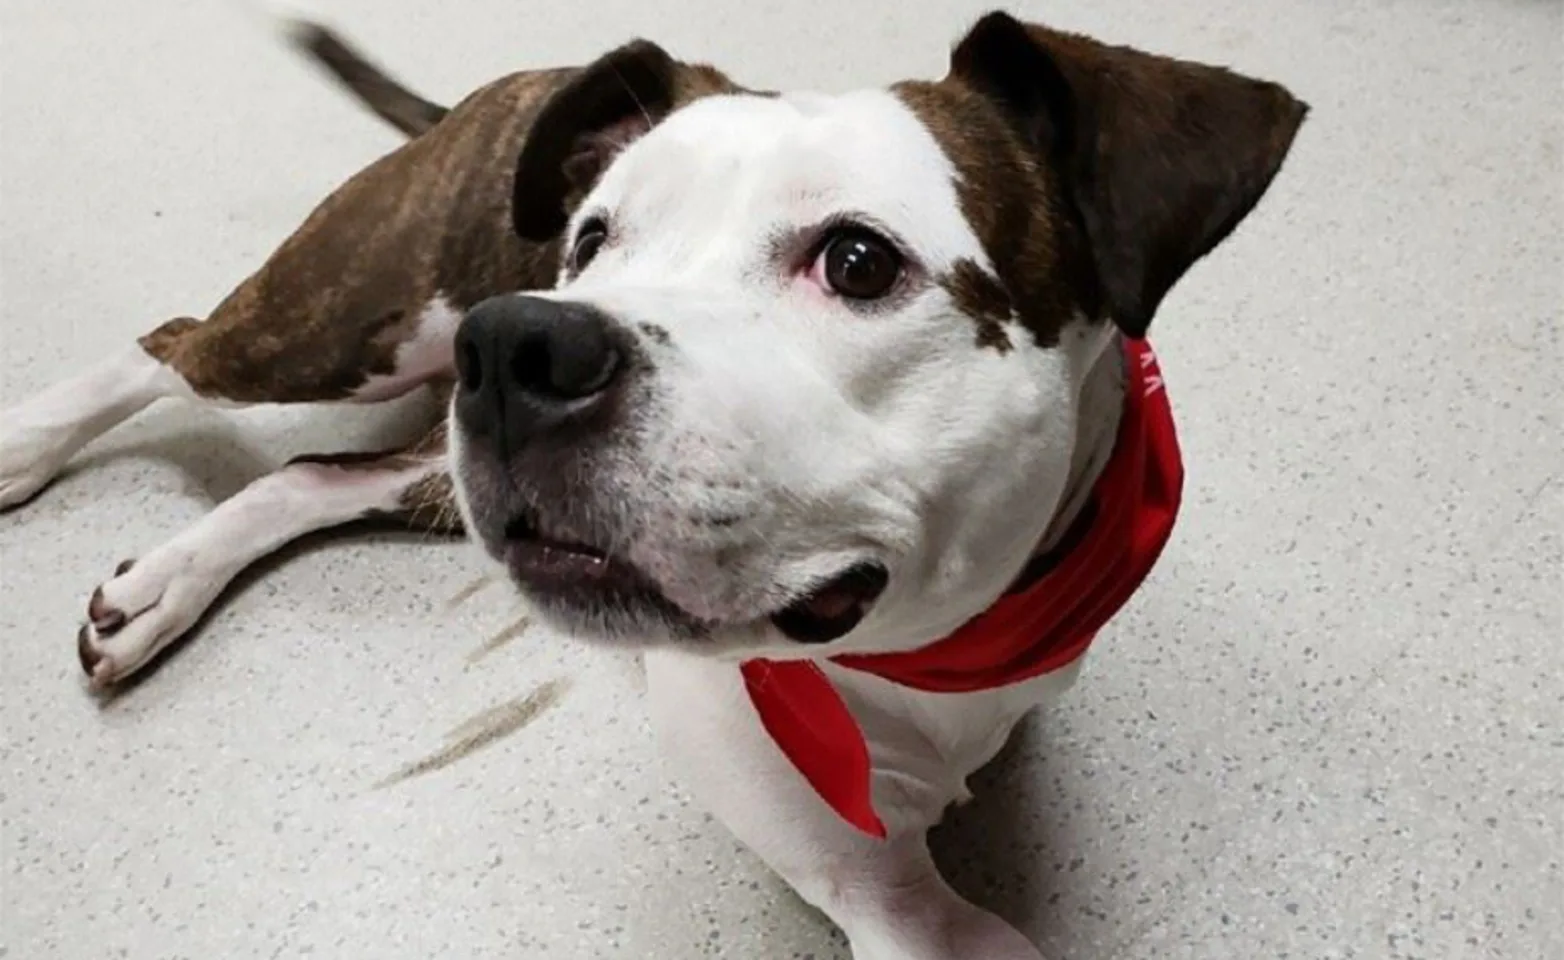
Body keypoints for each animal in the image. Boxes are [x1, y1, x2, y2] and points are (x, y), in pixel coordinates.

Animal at [0, 9, 1307, 960]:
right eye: (591, 239)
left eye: (857, 259)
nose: (520, 342)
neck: (932, 652)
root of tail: (513, 81)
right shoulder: (876, 884)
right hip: (351, 320)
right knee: (172, 344)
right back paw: (27, 447)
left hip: (433, 448)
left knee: (315, 469)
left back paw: (158, 589)